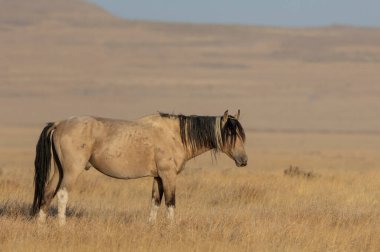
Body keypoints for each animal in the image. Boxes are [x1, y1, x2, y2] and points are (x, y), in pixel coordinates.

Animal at [31, 110, 246, 224]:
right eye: (230, 134)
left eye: (241, 135)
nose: (243, 160)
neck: (175, 135)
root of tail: (59, 124)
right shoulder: (168, 176)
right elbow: (170, 203)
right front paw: (172, 229)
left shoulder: (157, 177)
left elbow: (155, 202)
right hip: (71, 171)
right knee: (62, 194)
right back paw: (62, 226)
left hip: (59, 171)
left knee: (47, 193)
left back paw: (41, 226)